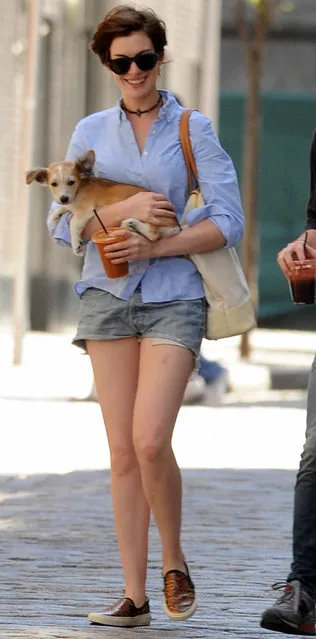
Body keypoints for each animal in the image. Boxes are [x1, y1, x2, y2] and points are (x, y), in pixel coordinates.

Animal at [26, 151, 180, 256]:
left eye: (71, 182)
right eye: (53, 184)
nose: (63, 198)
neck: (79, 189)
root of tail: (176, 225)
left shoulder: (86, 211)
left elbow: (73, 223)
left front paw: (77, 245)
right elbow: (66, 209)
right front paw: (56, 214)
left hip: (150, 215)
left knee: (153, 234)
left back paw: (131, 223)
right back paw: (131, 224)